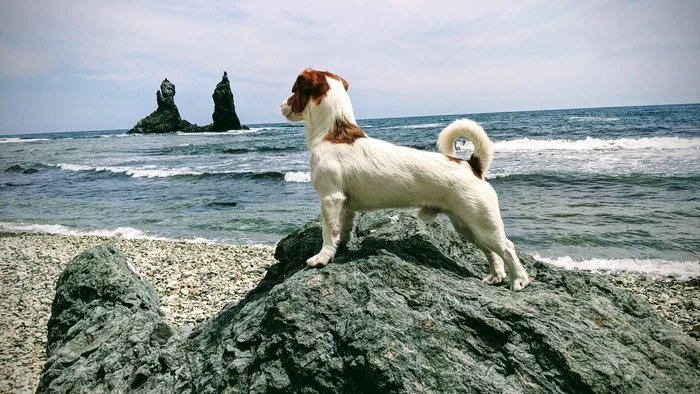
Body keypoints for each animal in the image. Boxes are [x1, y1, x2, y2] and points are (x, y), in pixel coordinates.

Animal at [278, 67, 532, 290]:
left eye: (294, 90)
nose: (280, 105)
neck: (332, 132)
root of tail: (473, 166)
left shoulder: (330, 198)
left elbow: (328, 232)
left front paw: (322, 257)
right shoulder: (345, 205)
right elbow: (343, 229)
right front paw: (340, 248)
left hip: (483, 222)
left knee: (507, 248)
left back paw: (519, 281)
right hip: (468, 226)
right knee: (491, 251)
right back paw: (496, 276)